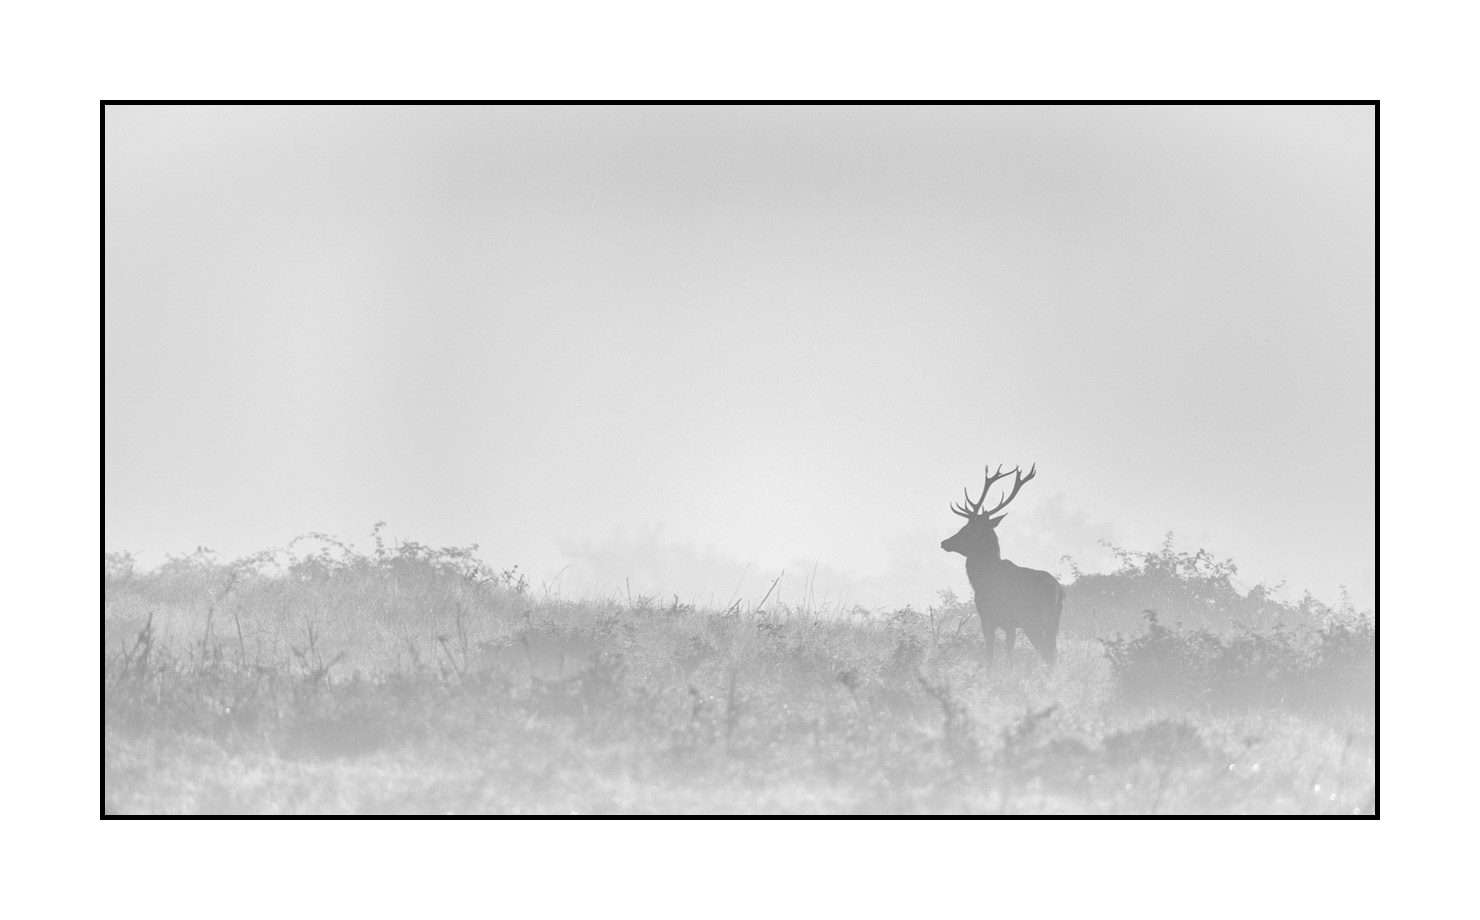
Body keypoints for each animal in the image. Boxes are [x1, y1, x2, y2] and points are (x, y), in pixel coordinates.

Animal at [941, 462, 1064, 669]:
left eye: (967, 529)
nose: (944, 542)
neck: (981, 578)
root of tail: (1058, 590)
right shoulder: (1009, 624)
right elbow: (1007, 655)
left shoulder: (990, 618)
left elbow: (992, 656)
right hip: (1054, 622)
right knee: (1052, 653)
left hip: (1033, 620)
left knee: (1047, 653)